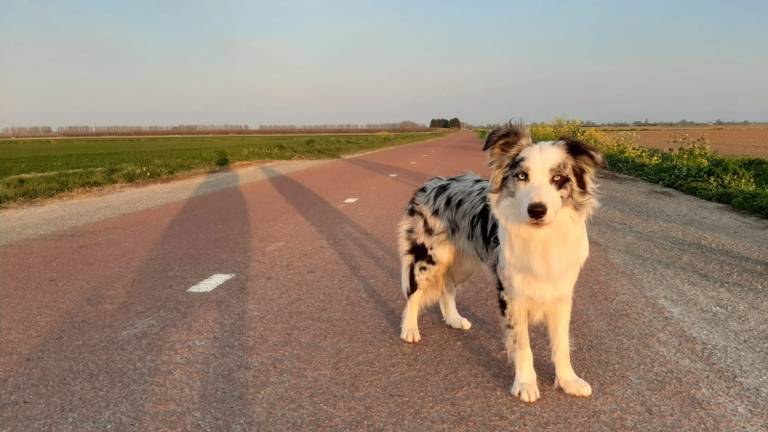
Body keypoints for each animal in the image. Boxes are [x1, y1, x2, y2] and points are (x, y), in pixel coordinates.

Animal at [396, 121, 608, 402]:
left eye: (558, 178)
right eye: (522, 176)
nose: (536, 210)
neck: (540, 238)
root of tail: (432, 184)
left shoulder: (561, 293)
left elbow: (561, 344)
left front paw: (568, 380)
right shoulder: (511, 292)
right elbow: (522, 344)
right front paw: (526, 384)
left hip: (464, 262)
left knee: (447, 287)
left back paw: (454, 319)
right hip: (429, 256)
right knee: (414, 292)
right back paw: (409, 329)